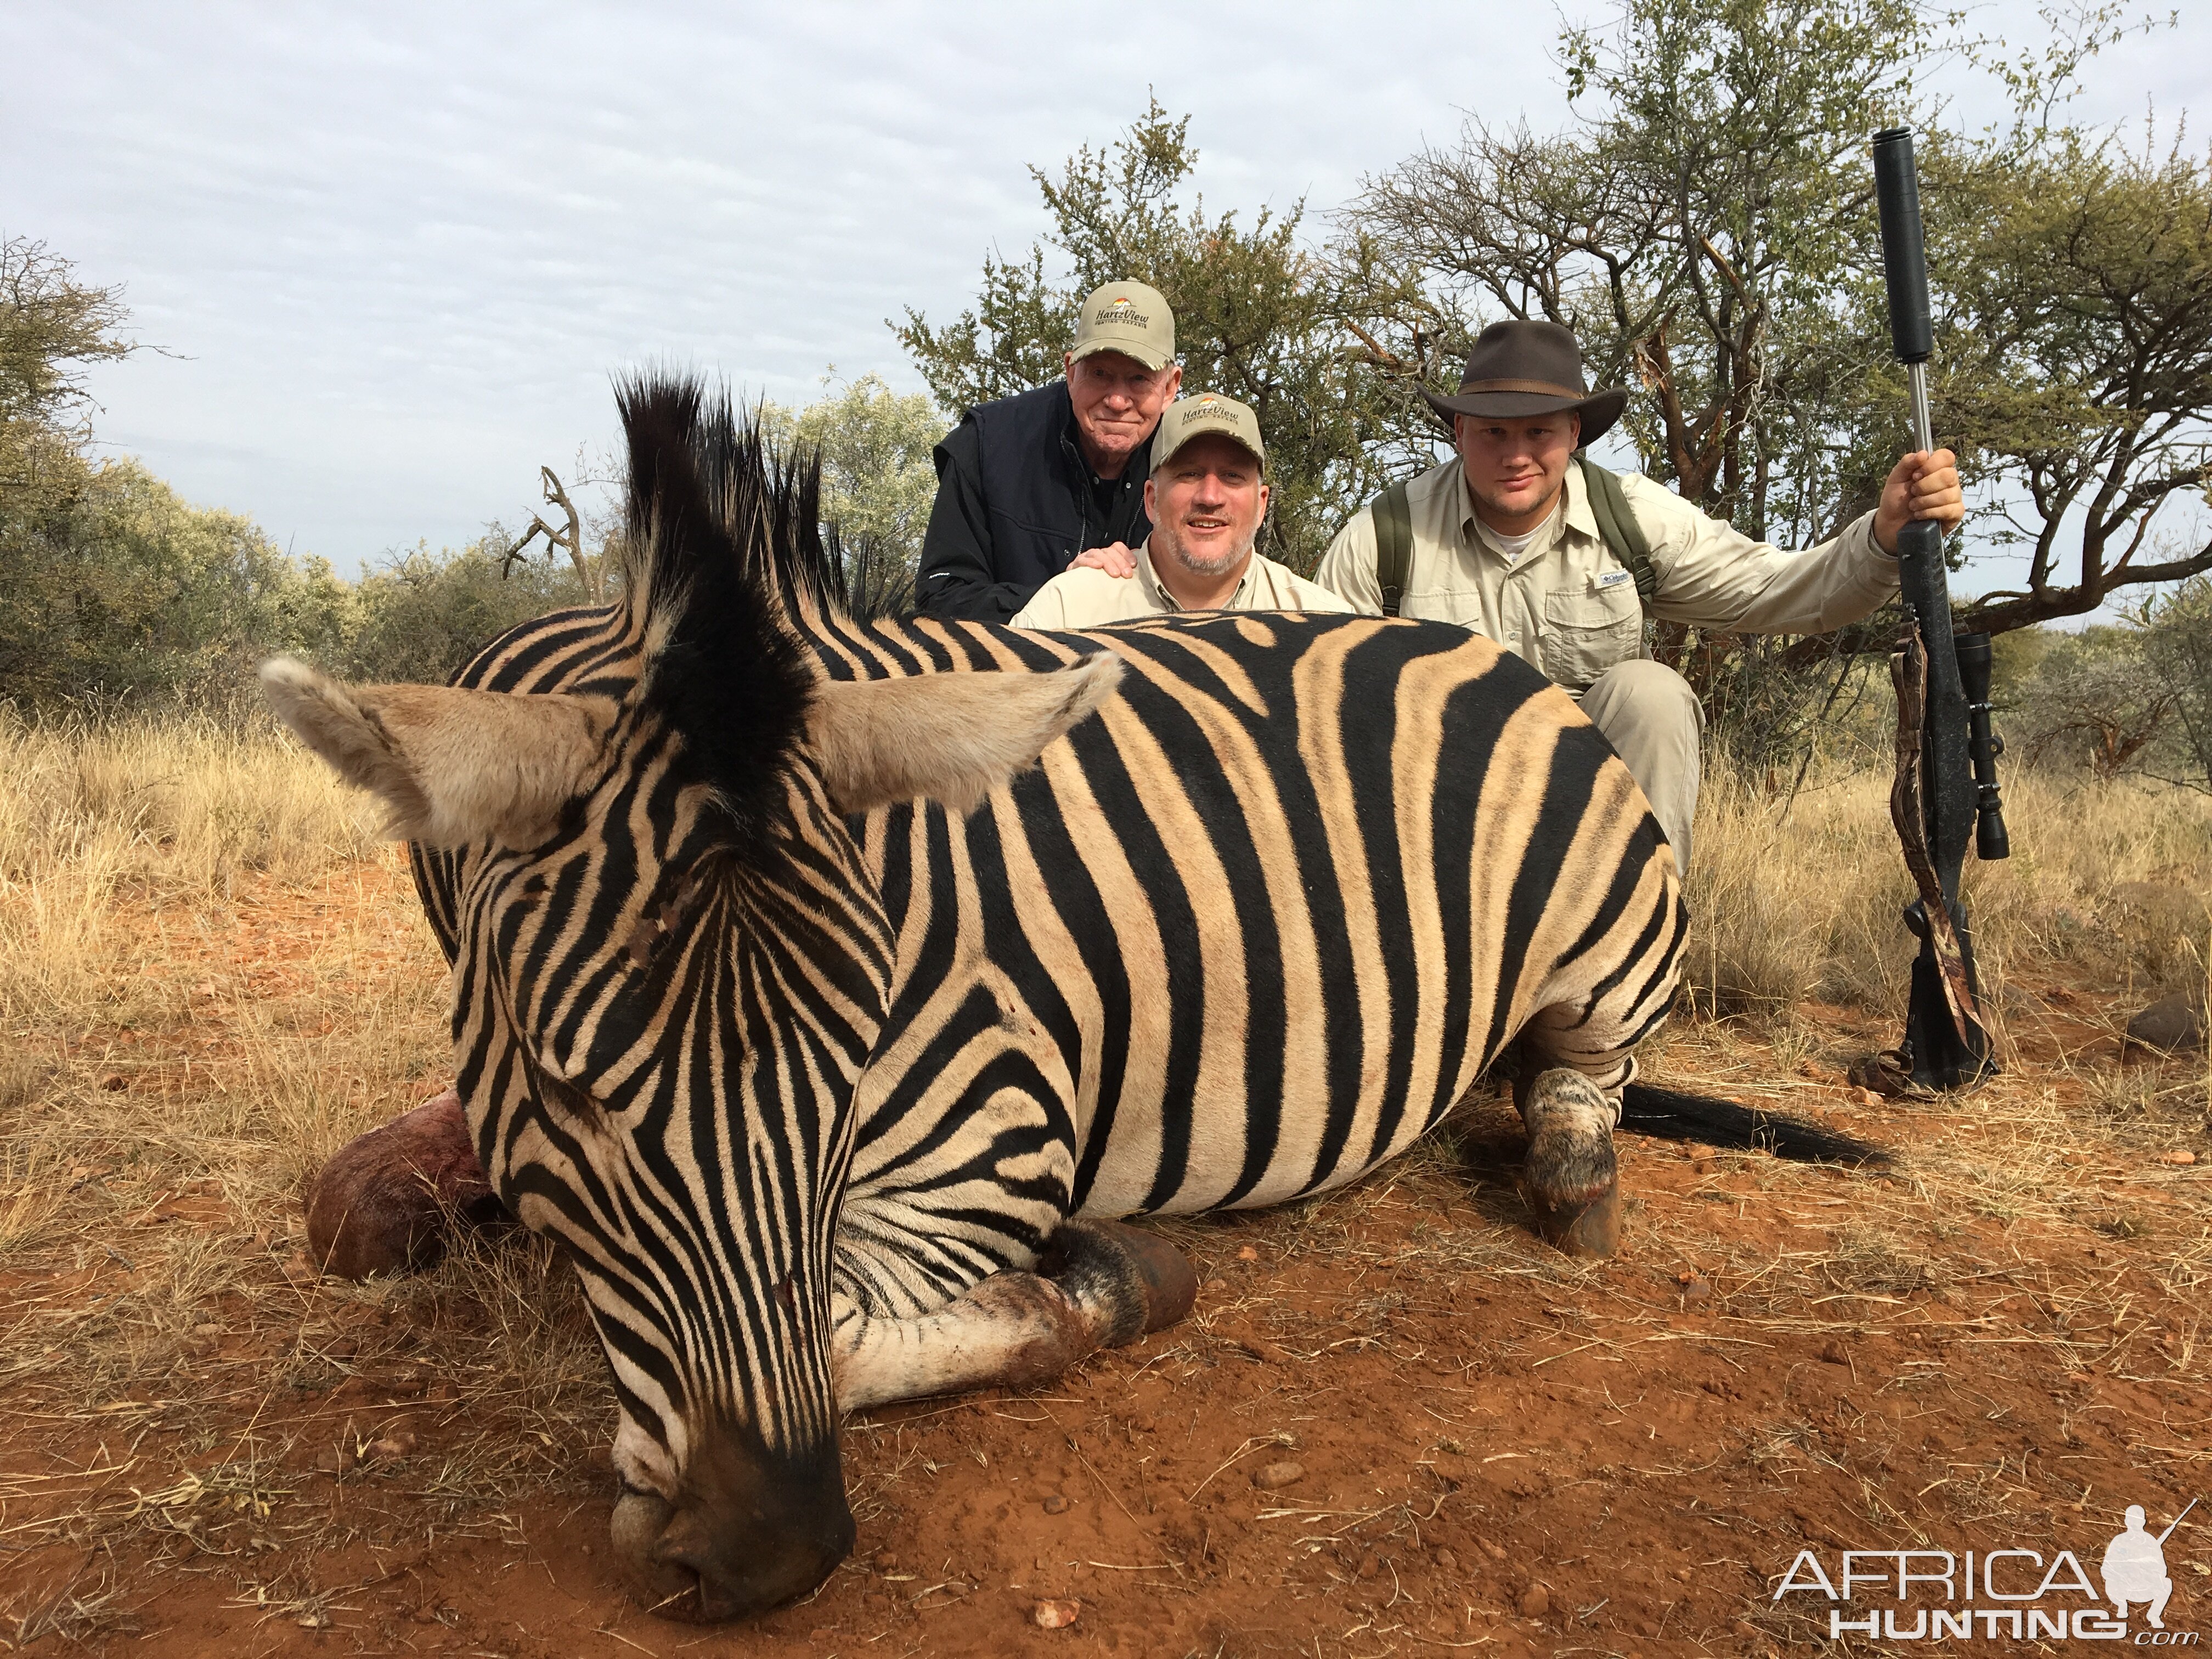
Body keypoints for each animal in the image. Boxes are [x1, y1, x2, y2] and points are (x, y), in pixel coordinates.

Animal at [263, 374, 1884, 1628]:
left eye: (851, 1070)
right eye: (568, 1088)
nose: (770, 1552)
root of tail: (1489, 651)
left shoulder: (993, 1143)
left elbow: (842, 1326)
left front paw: (1111, 1272)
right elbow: (358, 1211)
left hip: (1608, 925)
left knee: (1586, 1072)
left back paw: (1568, 1164)